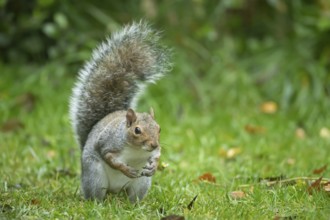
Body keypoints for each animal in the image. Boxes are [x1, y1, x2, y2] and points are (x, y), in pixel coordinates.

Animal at [70, 21, 173, 203]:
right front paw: (125, 169)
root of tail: (115, 191)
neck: (136, 150)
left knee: (135, 196)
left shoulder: (153, 151)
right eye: (137, 130)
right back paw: (98, 203)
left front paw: (153, 166)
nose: (154, 144)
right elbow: (109, 157)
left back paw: (136, 205)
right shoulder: (107, 142)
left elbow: (157, 155)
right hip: (95, 176)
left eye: (159, 128)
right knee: (96, 194)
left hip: (141, 183)